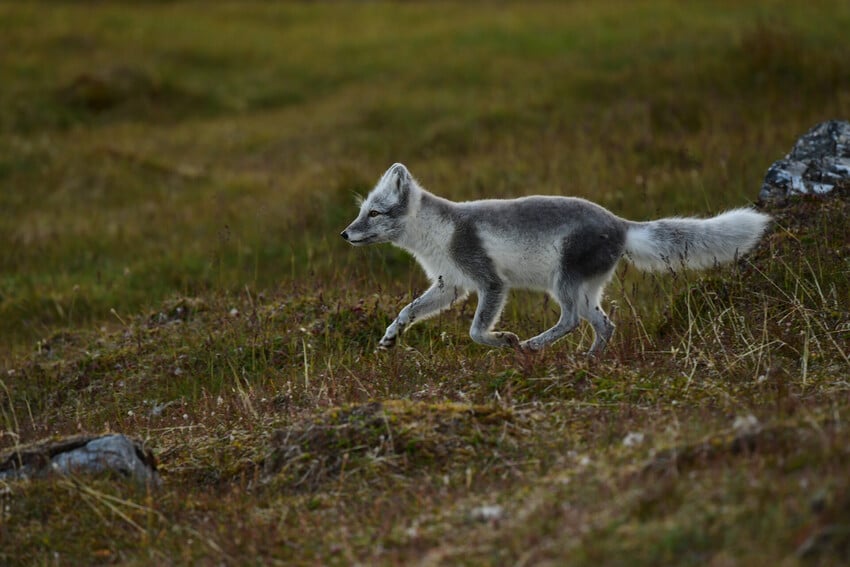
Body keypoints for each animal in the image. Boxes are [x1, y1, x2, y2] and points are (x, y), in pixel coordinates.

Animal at [341, 163, 771, 355]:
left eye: (374, 213)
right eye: (362, 211)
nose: (344, 234)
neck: (436, 236)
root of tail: (621, 224)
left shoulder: (490, 281)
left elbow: (476, 331)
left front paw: (505, 339)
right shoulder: (450, 285)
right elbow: (408, 310)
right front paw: (390, 336)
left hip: (562, 281)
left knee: (572, 320)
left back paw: (533, 345)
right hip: (586, 289)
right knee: (604, 324)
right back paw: (591, 359)